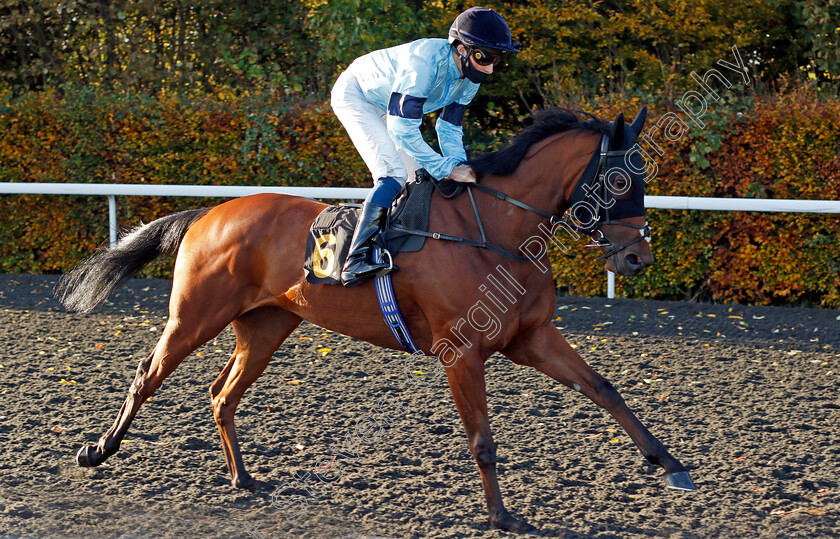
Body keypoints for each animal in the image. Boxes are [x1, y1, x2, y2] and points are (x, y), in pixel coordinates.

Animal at [57, 107, 696, 532]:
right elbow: (482, 439)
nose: (638, 258)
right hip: (194, 316)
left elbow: (603, 388)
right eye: (621, 178)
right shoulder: (461, 352)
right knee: (148, 375)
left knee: (221, 394)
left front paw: (670, 465)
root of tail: (209, 213)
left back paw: (243, 478)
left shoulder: (531, 337)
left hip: (265, 327)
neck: (497, 232)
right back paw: (99, 450)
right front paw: (501, 516)